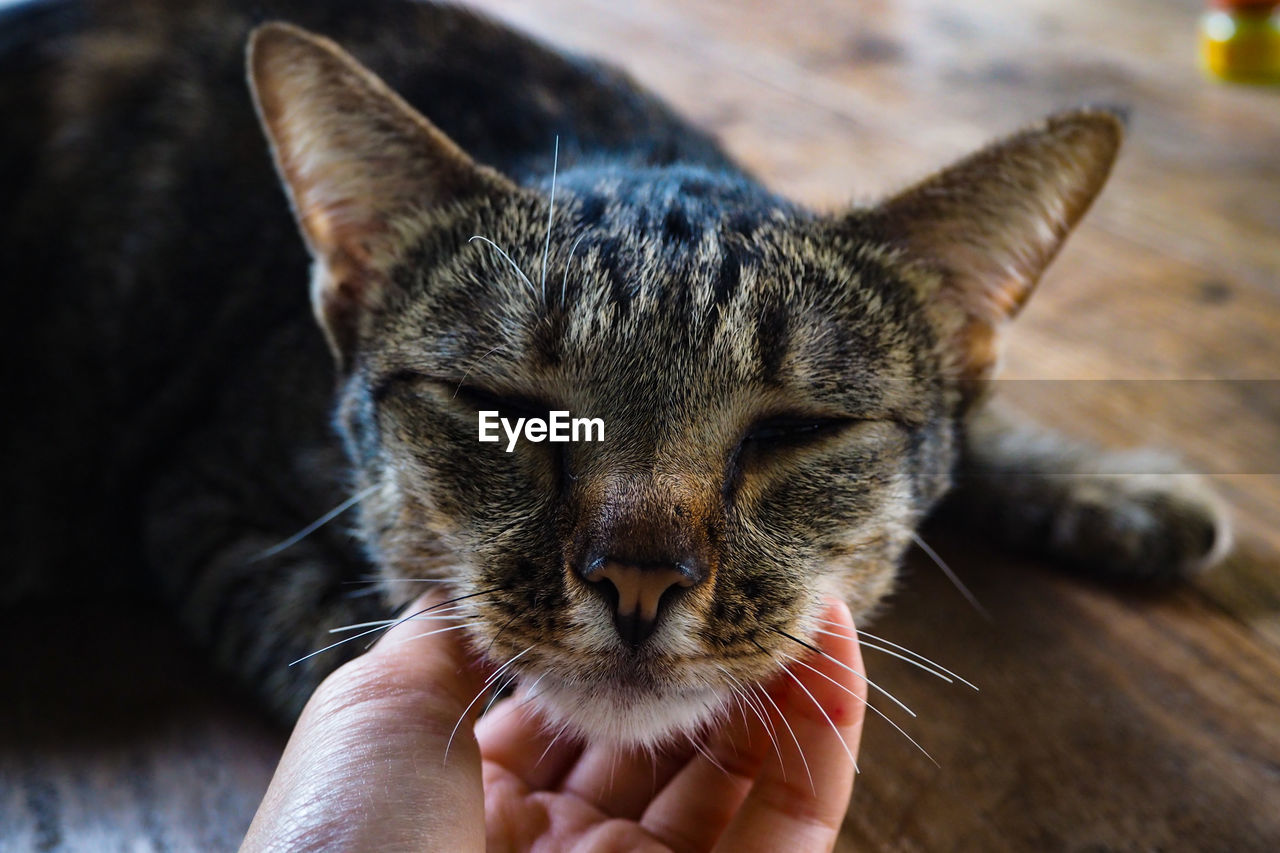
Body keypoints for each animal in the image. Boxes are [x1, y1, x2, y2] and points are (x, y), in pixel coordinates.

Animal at [2, 0, 1228, 742]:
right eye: (502, 411)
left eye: (793, 430)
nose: (638, 578)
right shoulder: (203, 502)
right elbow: (327, 649)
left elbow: (978, 432)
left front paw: (1111, 484)